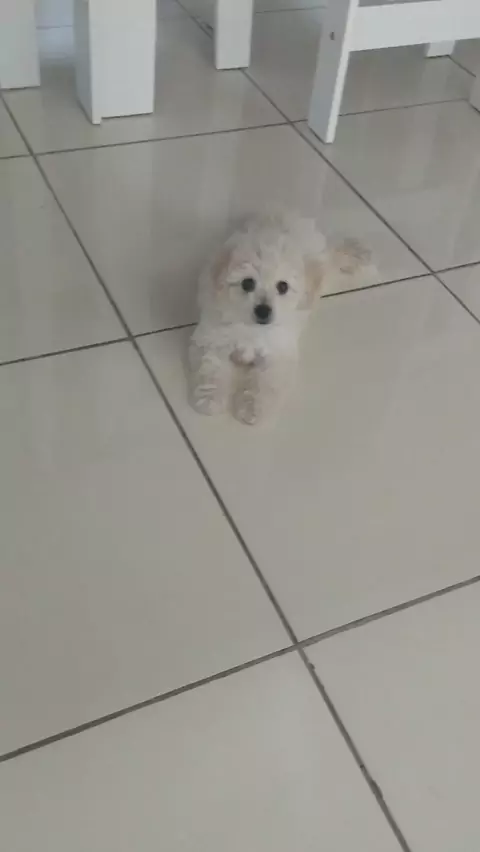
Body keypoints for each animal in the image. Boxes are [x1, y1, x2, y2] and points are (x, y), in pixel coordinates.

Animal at [189, 209, 376, 425]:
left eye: (283, 286)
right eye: (247, 283)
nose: (263, 310)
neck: (252, 327)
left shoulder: (278, 354)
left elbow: (266, 382)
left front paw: (253, 408)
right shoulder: (212, 338)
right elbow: (211, 368)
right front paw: (209, 398)